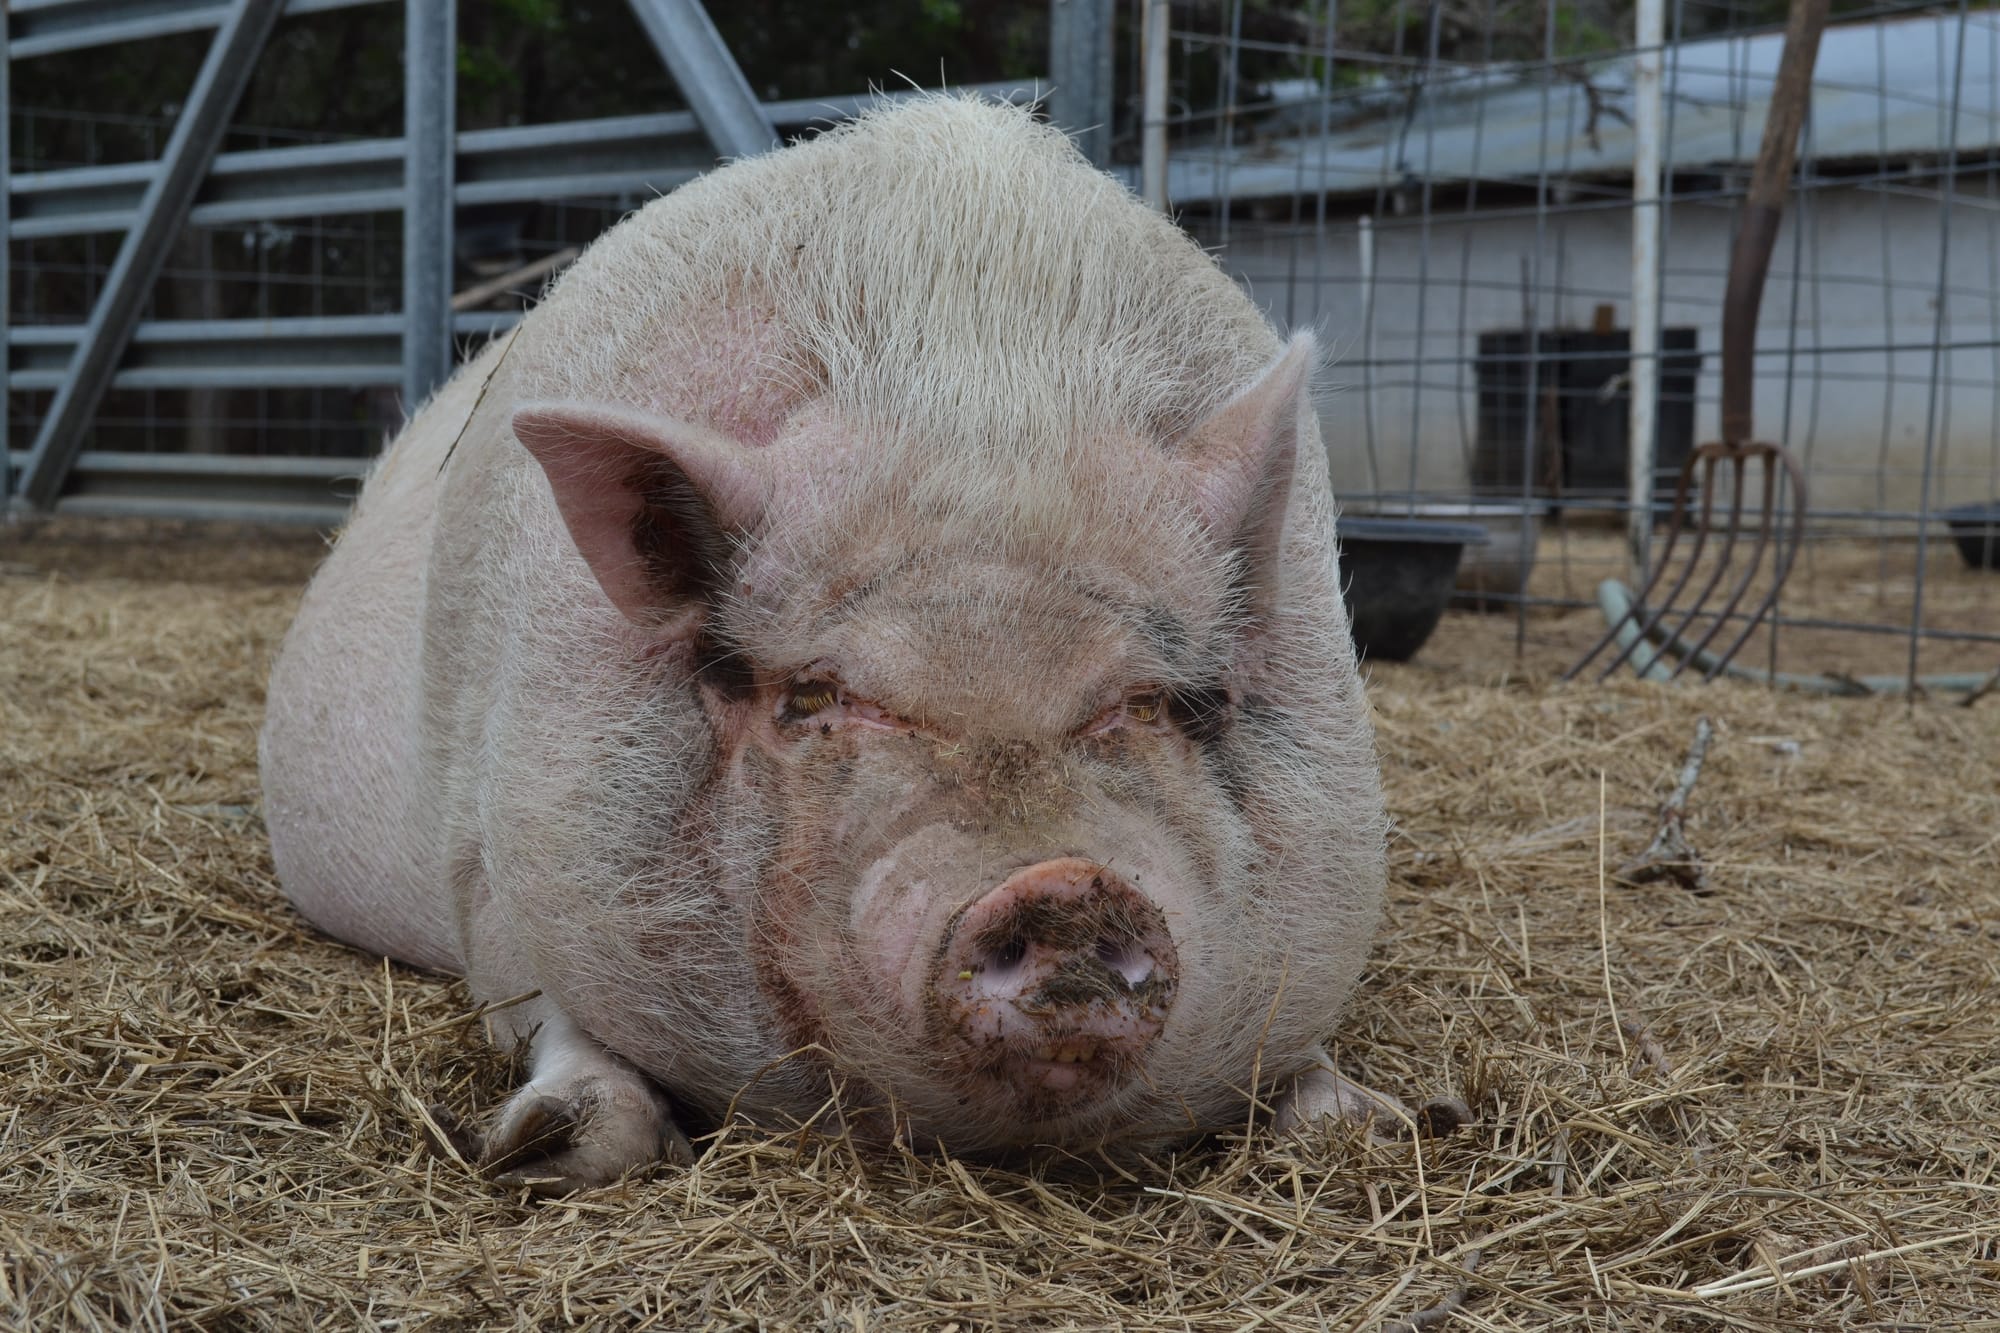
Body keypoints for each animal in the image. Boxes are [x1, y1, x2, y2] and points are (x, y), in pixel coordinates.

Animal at [259, 95, 1394, 1194]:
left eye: (1150, 702)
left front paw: (1376, 1120)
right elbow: (558, 1026)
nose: (1064, 884)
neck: (982, 386)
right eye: (815, 696)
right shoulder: (489, 869)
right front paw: (536, 1145)